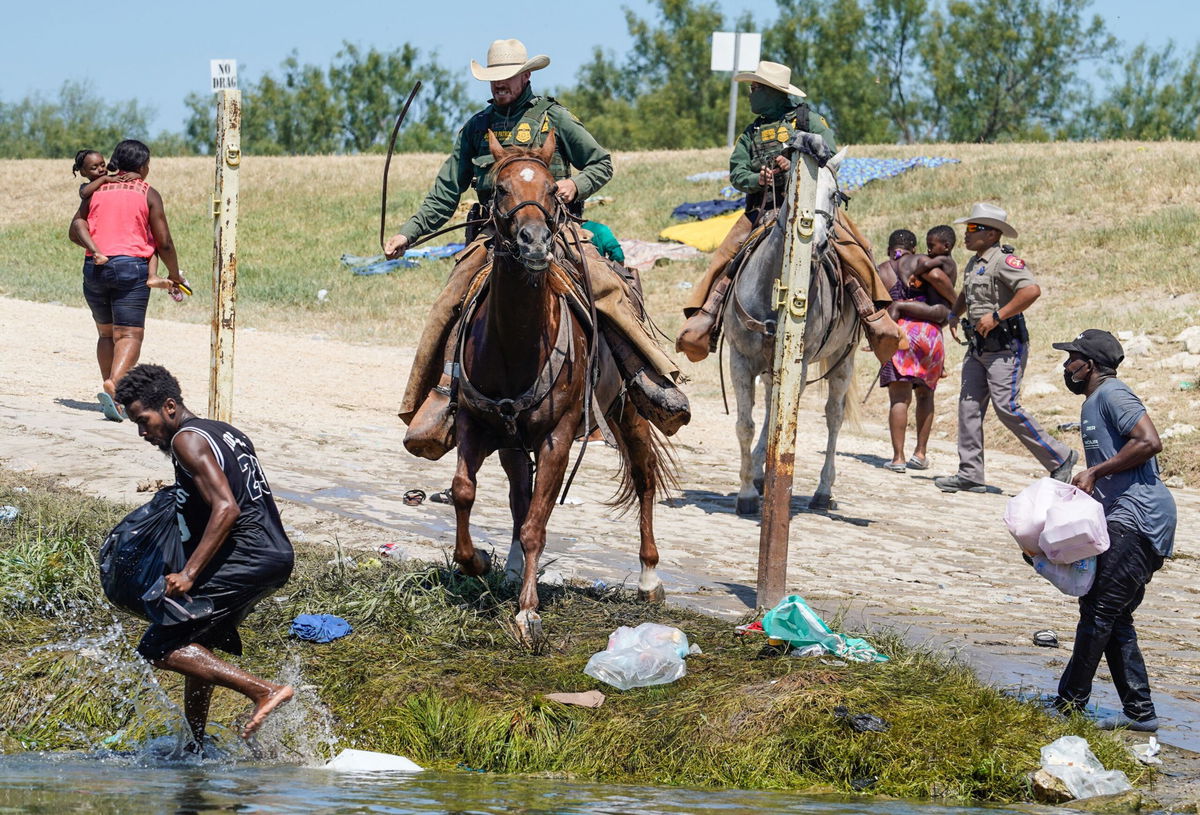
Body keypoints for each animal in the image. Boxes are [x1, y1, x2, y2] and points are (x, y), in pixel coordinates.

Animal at [451, 129, 676, 643]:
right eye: (499, 189)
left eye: (554, 190)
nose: (534, 243)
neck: (515, 345)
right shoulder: (475, 423)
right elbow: (465, 492)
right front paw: (476, 562)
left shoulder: (557, 438)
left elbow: (538, 522)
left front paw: (528, 613)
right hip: (513, 442)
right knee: (519, 495)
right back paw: (514, 567)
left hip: (627, 412)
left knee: (644, 477)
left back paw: (649, 577)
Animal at [724, 148, 859, 513]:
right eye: (796, 191)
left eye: (835, 195)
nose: (818, 244)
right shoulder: (740, 358)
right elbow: (745, 425)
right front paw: (746, 491)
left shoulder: (799, 363)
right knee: (772, 408)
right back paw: (760, 471)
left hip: (842, 359)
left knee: (833, 416)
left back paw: (823, 491)